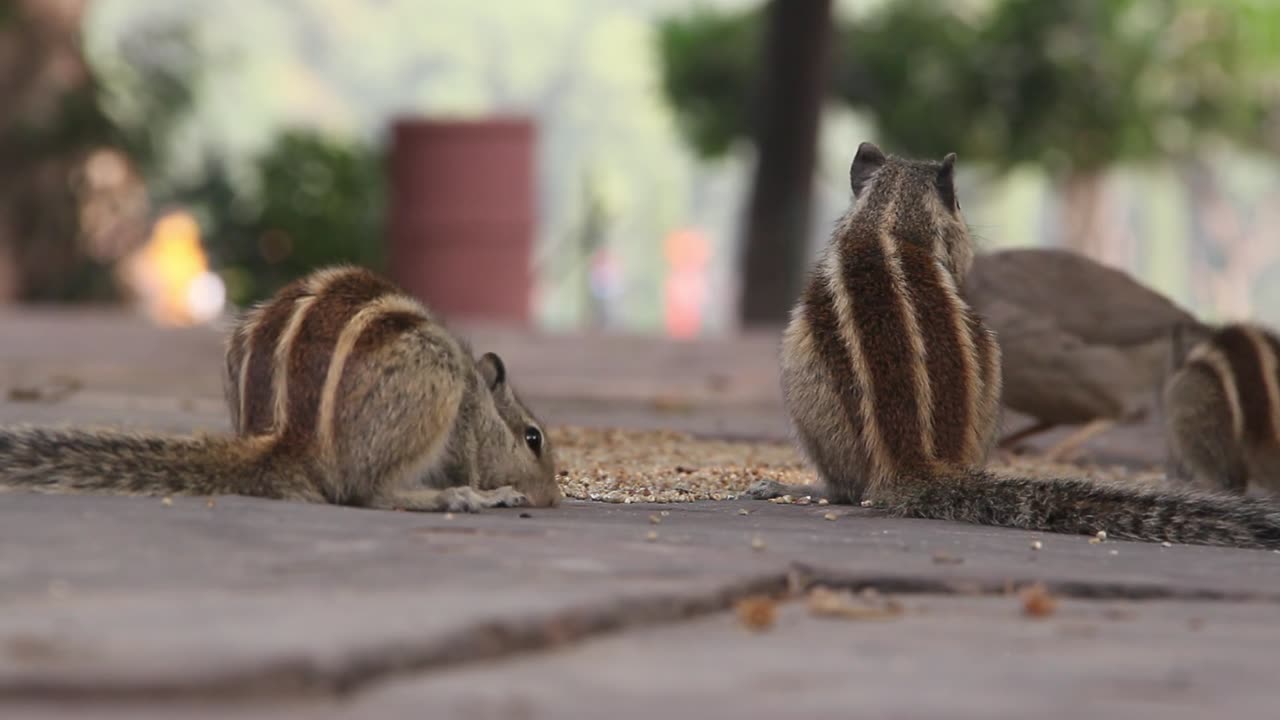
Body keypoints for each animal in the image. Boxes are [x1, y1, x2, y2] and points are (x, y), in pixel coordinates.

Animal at [0, 263, 560, 509]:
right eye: (533, 439)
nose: (552, 498)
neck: (479, 405)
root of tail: (289, 441)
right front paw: (491, 489)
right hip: (430, 380)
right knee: (370, 493)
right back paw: (460, 497)